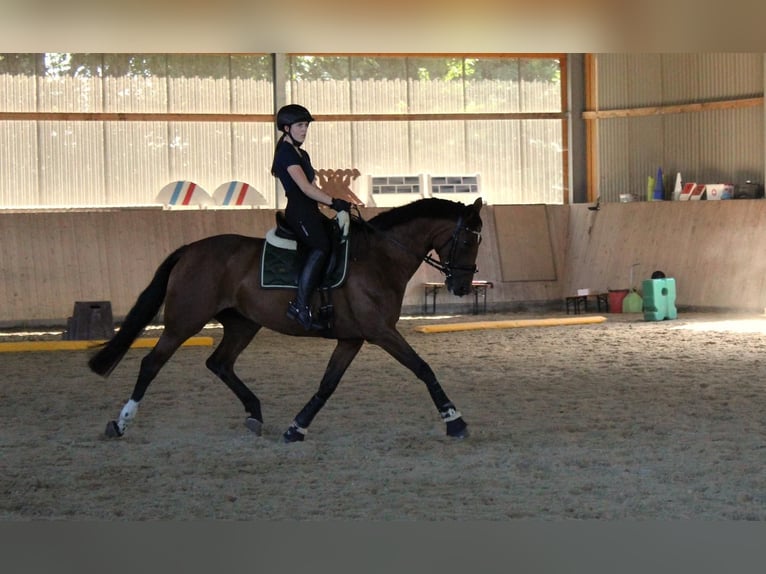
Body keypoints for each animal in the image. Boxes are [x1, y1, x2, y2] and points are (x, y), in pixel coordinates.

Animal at [90, 196, 484, 444]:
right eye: (468, 240)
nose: (462, 286)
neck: (379, 258)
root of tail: (190, 249)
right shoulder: (381, 332)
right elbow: (423, 368)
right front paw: (455, 421)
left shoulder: (352, 338)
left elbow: (327, 385)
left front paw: (296, 428)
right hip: (184, 321)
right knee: (152, 363)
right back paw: (120, 423)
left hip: (243, 323)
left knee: (219, 363)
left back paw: (255, 414)